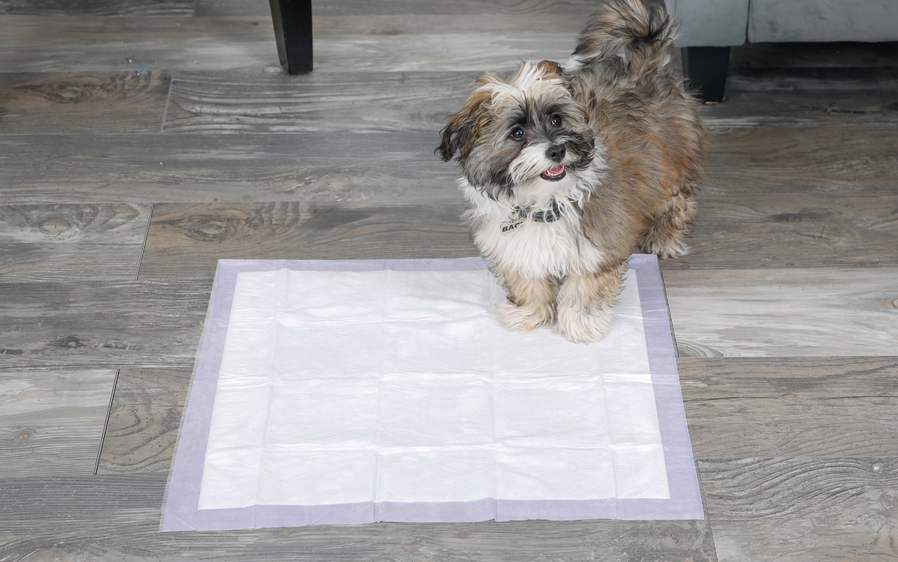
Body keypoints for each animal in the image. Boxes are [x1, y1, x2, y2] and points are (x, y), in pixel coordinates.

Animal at [436, 0, 708, 342]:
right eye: (517, 133)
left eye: (556, 119)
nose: (556, 150)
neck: (545, 202)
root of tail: (647, 65)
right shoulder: (516, 249)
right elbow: (530, 284)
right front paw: (529, 314)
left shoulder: (596, 247)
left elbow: (584, 288)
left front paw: (580, 324)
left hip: (670, 163)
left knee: (677, 200)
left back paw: (664, 238)